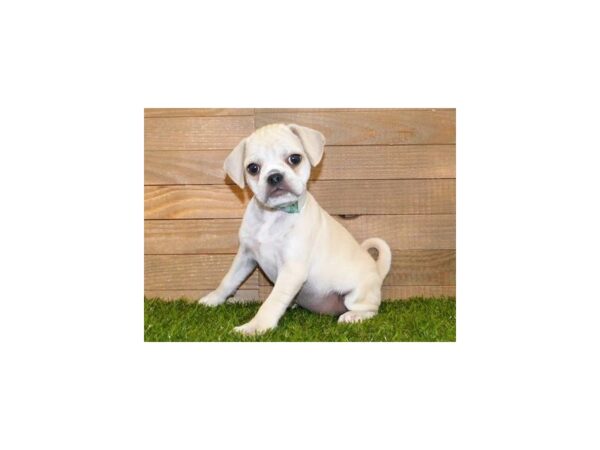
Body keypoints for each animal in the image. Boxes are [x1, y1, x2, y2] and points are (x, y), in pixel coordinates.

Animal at [199, 123, 392, 334]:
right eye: (253, 168)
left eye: (294, 159)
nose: (274, 176)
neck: (273, 215)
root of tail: (377, 271)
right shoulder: (245, 257)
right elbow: (228, 280)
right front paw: (213, 299)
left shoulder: (292, 269)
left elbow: (272, 301)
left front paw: (255, 327)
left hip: (356, 295)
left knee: (370, 309)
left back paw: (353, 316)